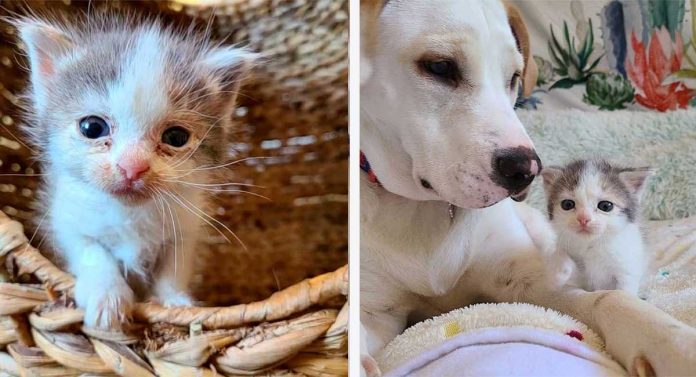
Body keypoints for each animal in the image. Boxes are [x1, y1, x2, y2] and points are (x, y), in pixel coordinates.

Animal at [12, 14, 256, 328]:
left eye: (176, 137)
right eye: (92, 127)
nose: (132, 167)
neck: (129, 213)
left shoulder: (186, 229)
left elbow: (174, 266)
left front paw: (174, 302)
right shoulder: (65, 220)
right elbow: (92, 250)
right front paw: (107, 297)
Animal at [544, 159, 652, 294]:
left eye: (605, 206)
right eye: (567, 204)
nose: (583, 219)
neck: (592, 245)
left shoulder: (628, 265)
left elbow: (624, 290)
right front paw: (559, 271)